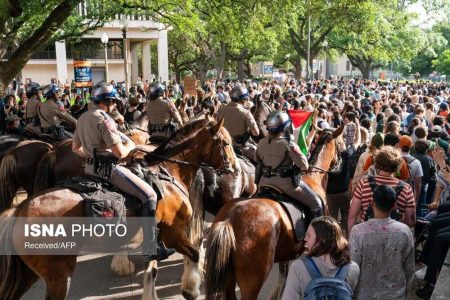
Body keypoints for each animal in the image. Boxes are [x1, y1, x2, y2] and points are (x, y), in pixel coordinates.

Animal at [0, 118, 237, 300]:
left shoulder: (157, 238)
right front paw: (190, 287)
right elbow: (194, 254)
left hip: (27, 274)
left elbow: (152, 272)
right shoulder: (173, 233)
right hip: (58, 275)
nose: (234, 168)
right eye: (226, 143)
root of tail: (20, 211)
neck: (167, 171)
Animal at [202, 127, 342, 300]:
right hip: (252, 283)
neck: (313, 178)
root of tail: (229, 219)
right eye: (340, 143)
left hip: (228, 277)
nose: (341, 163)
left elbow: (284, 277)